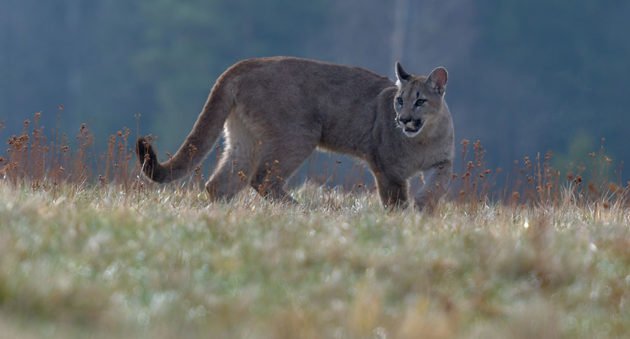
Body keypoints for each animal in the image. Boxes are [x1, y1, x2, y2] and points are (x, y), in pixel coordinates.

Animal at [137, 56, 454, 210]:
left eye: (420, 101)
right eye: (400, 100)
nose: (404, 119)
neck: (422, 139)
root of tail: (244, 64)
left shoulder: (443, 162)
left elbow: (437, 186)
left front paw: (423, 208)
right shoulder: (386, 170)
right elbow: (395, 200)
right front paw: (402, 218)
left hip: (245, 139)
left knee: (220, 183)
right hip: (299, 135)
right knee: (262, 178)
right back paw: (303, 211)